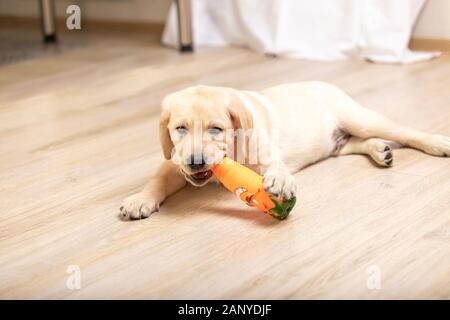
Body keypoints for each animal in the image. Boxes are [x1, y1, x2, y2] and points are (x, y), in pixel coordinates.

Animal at [120, 81, 450, 219]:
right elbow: (159, 179)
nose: (196, 161)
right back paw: (380, 151)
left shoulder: (263, 148)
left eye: (216, 129)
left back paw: (436, 142)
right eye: (180, 129)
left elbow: (274, 165)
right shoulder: (173, 161)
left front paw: (280, 180)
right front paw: (140, 199)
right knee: (354, 143)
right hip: (337, 143)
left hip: (359, 118)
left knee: (403, 132)